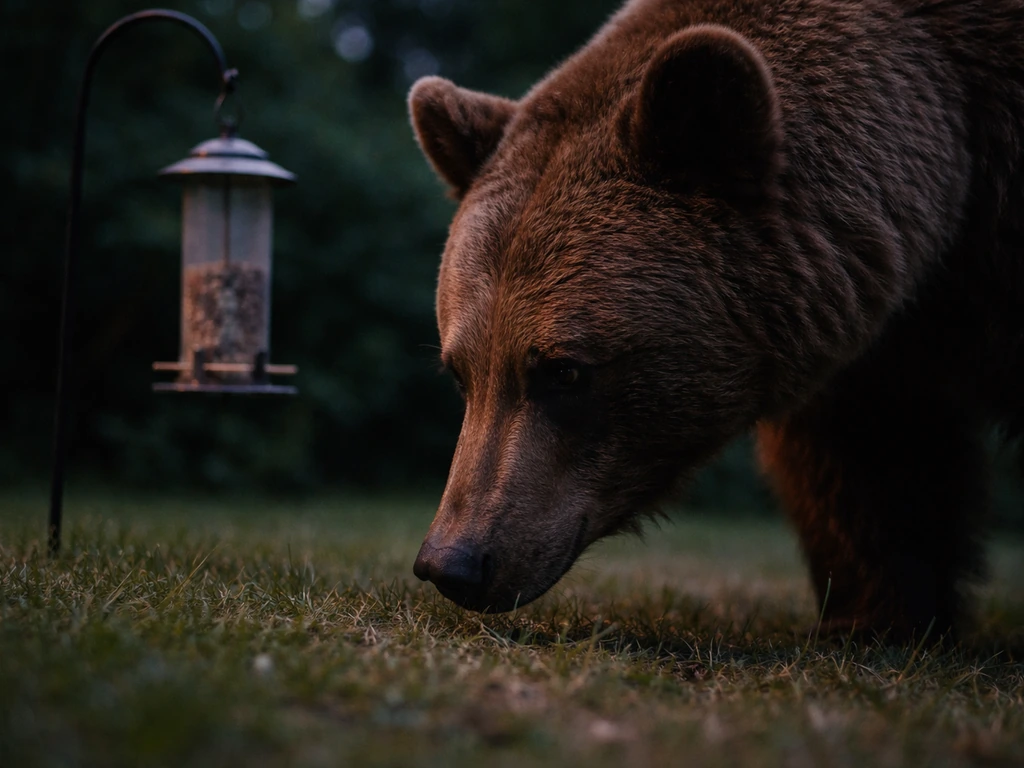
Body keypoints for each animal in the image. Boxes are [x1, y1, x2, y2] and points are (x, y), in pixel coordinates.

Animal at [406, 0, 1024, 641]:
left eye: (566, 370)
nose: (451, 562)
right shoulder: (861, 331)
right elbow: (870, 461)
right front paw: (873, 617)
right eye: (460, 372)